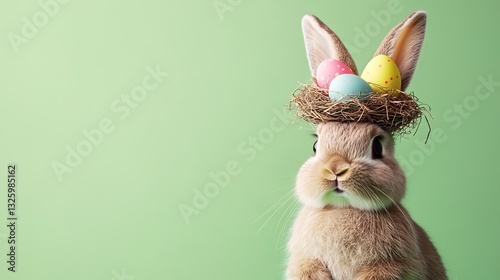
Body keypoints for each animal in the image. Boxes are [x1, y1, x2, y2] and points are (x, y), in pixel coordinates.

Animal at [288, 10, 448, 280]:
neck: (344, 209)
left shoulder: (391, 266)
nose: (335, 169)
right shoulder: (305, 260)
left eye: (377, 147)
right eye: (315, 146)